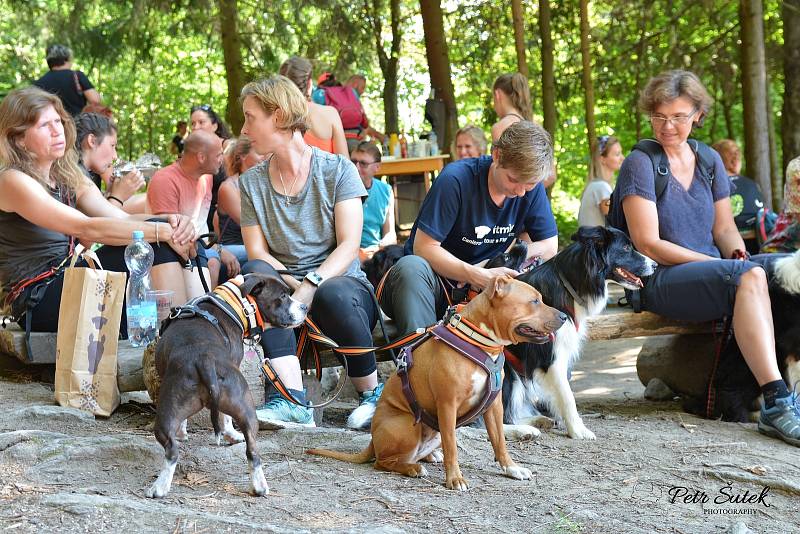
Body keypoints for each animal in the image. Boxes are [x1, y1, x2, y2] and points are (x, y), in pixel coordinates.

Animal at [145, 274, 308, 500]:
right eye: (283, 296)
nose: (305, 307)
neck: (237, 304)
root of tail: (203, 360)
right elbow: (225, 418)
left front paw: (182, 432)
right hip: (244, 406)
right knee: (252, 450)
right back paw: (258, 485)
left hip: (168, 410)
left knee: (172, 450)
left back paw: (159, 487)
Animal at [306, 278, 564, 492]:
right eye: (534, 301)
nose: (563, 316)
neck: (478, 340)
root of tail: (372, 441)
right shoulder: (447, 405)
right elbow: (453, 448)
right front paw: (455, 479)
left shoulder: (493, 406)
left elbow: (499, 441)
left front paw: (512, 468)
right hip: (407, 426)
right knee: (383, 461)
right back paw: (412, 468)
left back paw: (429, 457)